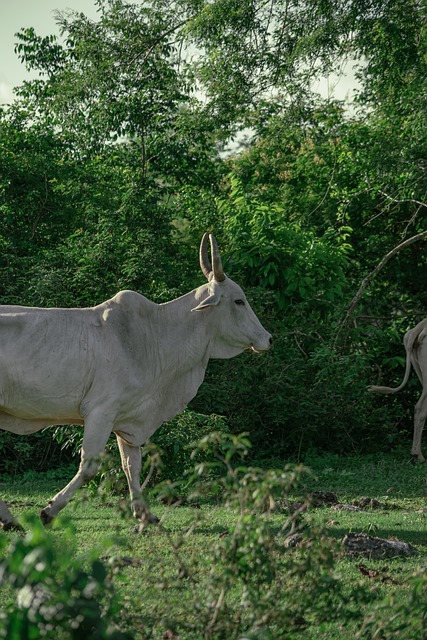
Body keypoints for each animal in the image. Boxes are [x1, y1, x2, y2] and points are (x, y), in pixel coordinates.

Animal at [0, 235, 272, 528]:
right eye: (239, 301)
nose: (268, 338)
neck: (152, 336)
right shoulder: (101, 411)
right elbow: (89, 467)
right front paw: (50, 510)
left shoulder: (128, 417)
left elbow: (132, 465)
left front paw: (144, 513)